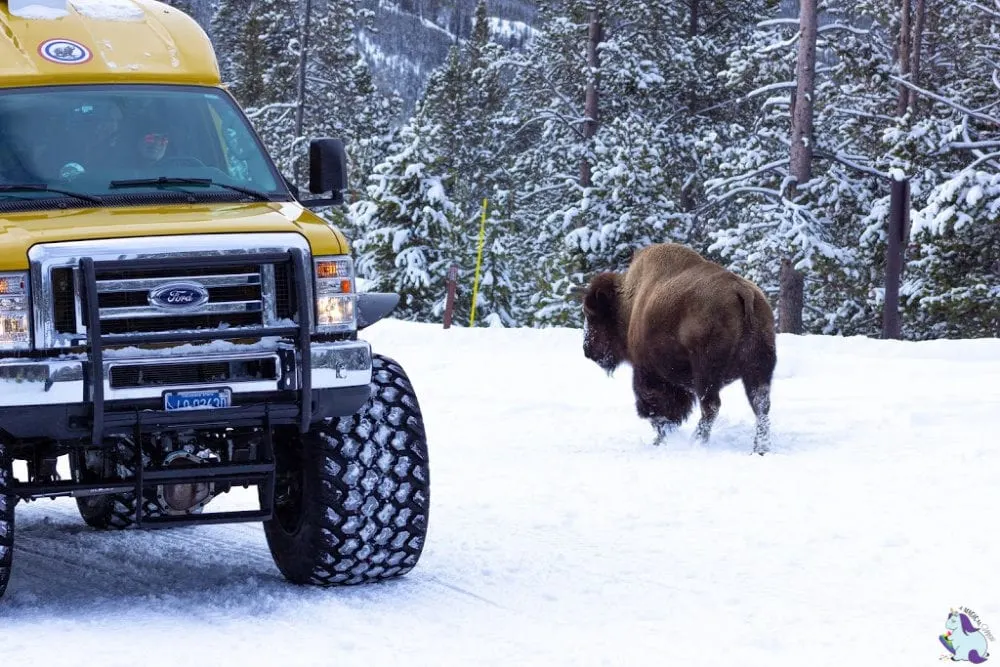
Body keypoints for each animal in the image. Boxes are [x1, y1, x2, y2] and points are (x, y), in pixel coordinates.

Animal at [584, 243, 776, 456]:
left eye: (592, 315)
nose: (587, 349)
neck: (628, 303)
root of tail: (743, 291)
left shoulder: (649, 373)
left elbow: (658, 408)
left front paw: (660, 439)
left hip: (706, 371)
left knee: (711, 406)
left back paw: (697, 442)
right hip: (758, 368)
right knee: (761, 405)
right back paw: (760, 449)